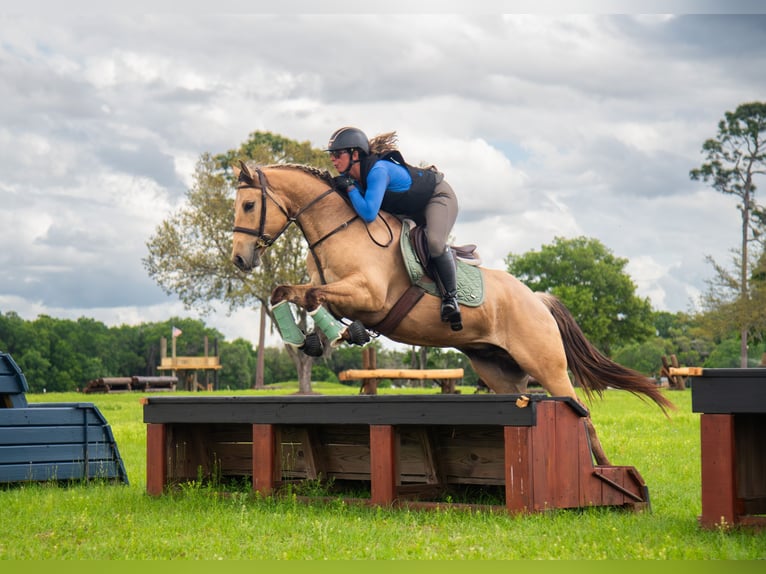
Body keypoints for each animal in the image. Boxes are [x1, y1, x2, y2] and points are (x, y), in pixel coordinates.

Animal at [231, 161, 675, 466]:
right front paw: (313, 338)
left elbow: (312, 296)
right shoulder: (339, 293)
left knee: (582, 414)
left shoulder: (370, 296)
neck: (339, 229)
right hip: (501, 373)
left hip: (547, 365)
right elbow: (289, 293)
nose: (239, 259)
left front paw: (338, 333)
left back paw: (609, 474)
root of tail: (537, 299)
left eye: (249, 204)